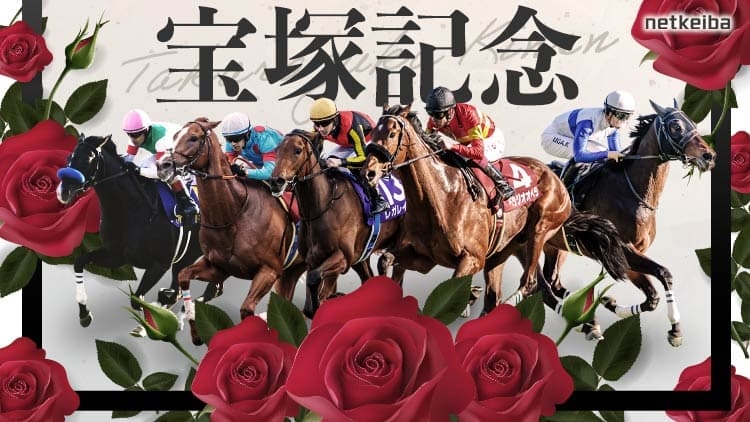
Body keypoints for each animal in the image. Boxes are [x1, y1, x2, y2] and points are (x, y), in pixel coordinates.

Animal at [56, 134, 219, 335]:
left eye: (88, 159)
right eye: (69, 158)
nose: (63, 191)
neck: (132, 210)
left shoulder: (159, 264)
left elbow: (137, 299)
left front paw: (151, 323)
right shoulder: (116, 256)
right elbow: (79, 262)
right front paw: (84, 314)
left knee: (211, 288)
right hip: (186, 256)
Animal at [156, 118, 307, 345]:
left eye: (194, 138)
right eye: (175, 136)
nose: (162, 165)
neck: (233, 214)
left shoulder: (270, 270)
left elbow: (246, 310)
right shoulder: (219, 268)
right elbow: (183, 275)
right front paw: (195, 331)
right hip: (292, 270)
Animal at [269, 129, 406, 317]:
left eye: (297, 150)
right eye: (277, 150)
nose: (276, 181)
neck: (324, 206)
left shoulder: (343, 257)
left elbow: (314, 278)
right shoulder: (314, 259)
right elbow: (312, 287)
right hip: (361, 256)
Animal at [362, 104, 629, 323]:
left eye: (392, 134)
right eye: (372, 133)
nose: (368, 172)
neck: (441, 196)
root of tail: (559, 180)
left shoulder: (472, 259)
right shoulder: (422, 257)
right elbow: (385, 260)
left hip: (541, 228)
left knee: (530, 283)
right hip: (502, 251)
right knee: (500, 295)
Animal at [541, 100, 716, 347]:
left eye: (693, 123)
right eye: (675, 126)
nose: (708, 156)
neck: (632, 192)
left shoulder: (633, 253)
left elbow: (652, 298)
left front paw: (611, 303)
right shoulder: (622, 248)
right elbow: (664, 273)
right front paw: (675, 329)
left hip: (558, 247)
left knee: (553, 280)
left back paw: (590, 314)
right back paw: (587, 323)